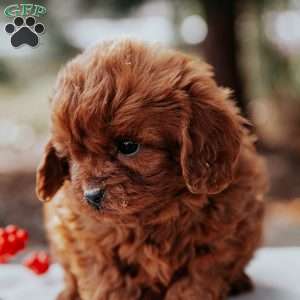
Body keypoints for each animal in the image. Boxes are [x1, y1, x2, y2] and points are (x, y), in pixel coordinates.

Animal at [35, 39, 268, 300]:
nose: (91, 196)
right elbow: (108, 280)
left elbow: (196, 281)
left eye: (128, 146)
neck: (153, 216)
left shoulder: (221, 241)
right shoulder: (86, 241)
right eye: (69, 156)